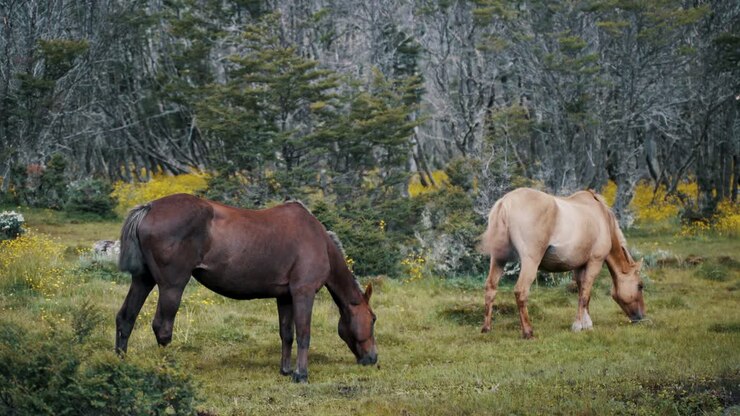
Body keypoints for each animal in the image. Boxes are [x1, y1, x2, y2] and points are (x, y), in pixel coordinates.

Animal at [115, 193, 377, 383]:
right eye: (373, 319)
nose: (373, 358)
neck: (319, 240)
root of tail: (149, 208)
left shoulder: (285, 297)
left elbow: (287, 334)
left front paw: (285, 370)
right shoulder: (303, 292)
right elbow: (304, 334)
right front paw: (300, 374)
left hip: (143, 280)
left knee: (126, 317)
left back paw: (120, 362)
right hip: (172, 285)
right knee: (162, 327)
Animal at [478, 188, 645, 339]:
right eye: (640, 286)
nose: (641, 317)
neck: (601, 217)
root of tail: (505, 202)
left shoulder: (579, 267)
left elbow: (583, 294)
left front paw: (586, 323)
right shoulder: (594, 263)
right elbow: (585, 295)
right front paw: (578, 326)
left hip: (498, 259)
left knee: (490, 288)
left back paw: (486, 329)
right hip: (530, 262)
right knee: (521, 291)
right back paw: (528, 332)